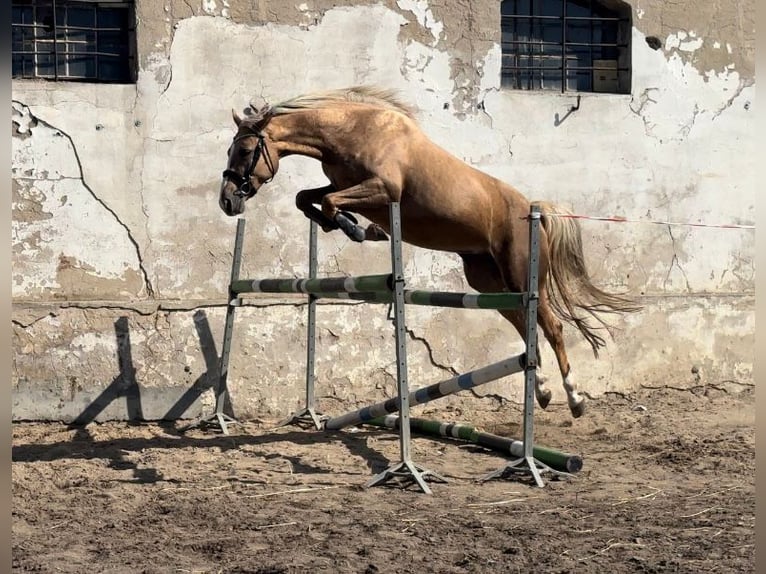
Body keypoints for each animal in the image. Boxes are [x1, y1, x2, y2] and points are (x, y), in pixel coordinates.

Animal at [218, 85, 640, 418]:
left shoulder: (382, 189)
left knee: (551, 326)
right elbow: (307, 198)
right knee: (525, 324)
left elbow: (330, 202)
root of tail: (532, 209)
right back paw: (545, 392)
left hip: (520, 274)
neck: (351, 133)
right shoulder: (343, 185)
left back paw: (574, 398)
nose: (227, 202)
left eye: (244, 149)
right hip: (489, 282)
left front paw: (361, 230)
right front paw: (355, 228)